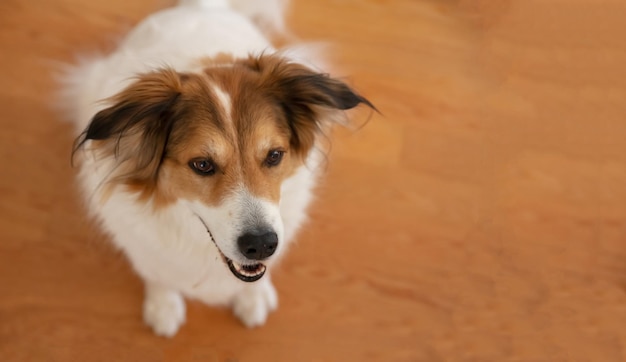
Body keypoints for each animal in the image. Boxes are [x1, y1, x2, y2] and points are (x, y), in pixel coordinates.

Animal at [64, 0, 370, 336]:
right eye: (202, 164)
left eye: (274, 155)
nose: (262, 245)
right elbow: (157, 272)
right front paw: (163, 305)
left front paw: (254, 296)